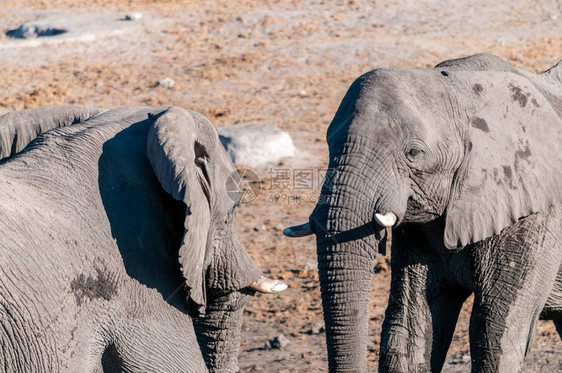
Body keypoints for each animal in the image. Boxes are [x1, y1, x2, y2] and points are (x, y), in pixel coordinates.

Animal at [284, 53, 560, 370]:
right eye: (329, 145)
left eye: (413, 153)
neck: (463, 86)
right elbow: (408, 327)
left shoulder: (535, 214)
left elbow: (494, 331)